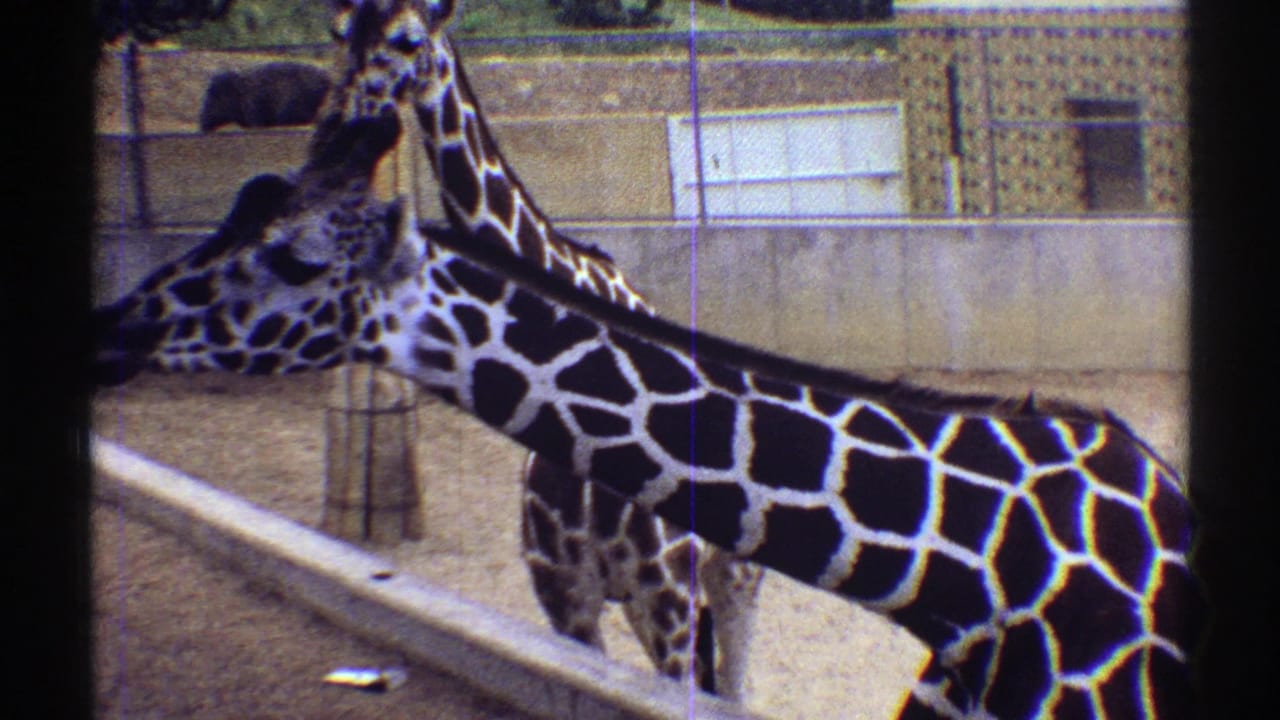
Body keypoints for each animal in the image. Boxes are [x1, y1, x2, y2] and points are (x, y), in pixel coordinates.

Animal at [323, 0, 763, 699]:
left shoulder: (665, 601)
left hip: (729, 580)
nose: (341, 123)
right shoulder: (565, 599)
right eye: (338, 31)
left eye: (409, 39)